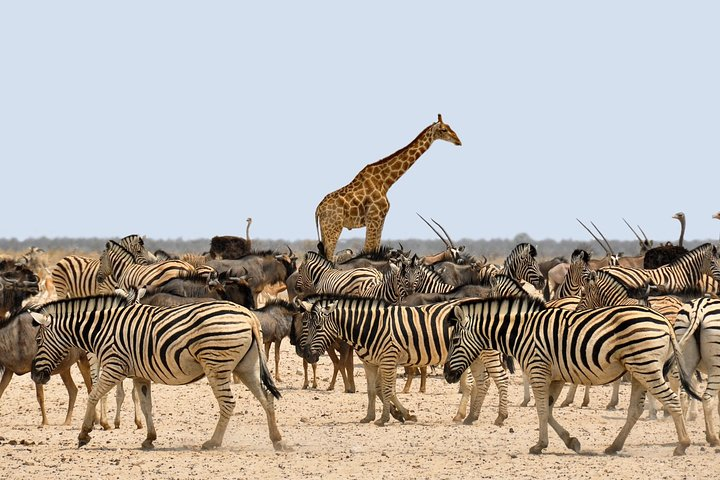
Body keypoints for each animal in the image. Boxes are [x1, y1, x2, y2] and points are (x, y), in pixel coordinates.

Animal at [28, 290, 286, 452]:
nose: (34, 376)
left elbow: (92, 396)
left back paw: (213, 442)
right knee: (267, 398)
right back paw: (277, 441)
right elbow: (146, 405)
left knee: (229, 403)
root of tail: (250, 315)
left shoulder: (113, 366)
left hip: (217, 365)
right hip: (247, 366)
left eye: (38, 340)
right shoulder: (140, 375)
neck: (103, 328)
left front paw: (84, 434)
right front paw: (149, 439)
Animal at [296, 296, 510, 428]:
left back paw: (498, 417)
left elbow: (387, 390)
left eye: (318, 327)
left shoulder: (388, 359)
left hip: (486, 353)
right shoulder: (370, 363)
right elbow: (374, 390)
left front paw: (385, 418)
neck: (367, 327)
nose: (307, 355)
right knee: (483, 382)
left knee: (499, 379)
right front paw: (372, 416)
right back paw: (470, 416)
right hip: (474, 355)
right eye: (306, 324)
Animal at [314, 114, 462, 260]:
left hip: (325, 230)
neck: (385, 182)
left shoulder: (381, 219)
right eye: (444, 130)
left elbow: (375, 247)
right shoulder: (374, 218)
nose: (458, 141)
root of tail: (318, 210)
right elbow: (368, 249)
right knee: (329, 257)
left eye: (450, 127)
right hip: (333, 228)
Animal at [442, 294, 700, 456]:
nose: (446, 375)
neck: (522, 332)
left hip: (646, 366)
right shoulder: (554, 376)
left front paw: (540, 445)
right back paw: (614, 446)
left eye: (454, 340)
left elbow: (541, 410)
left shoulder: (538, 369)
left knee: (672, 400)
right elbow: (548, 410)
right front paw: (571, 441)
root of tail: (665, 321)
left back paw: (683, 445)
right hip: (638, 370)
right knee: (635, 410)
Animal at [676, 296, 720, 446]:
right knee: (707, 398)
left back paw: (683, 440)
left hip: (686, 360)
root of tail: (698, 308)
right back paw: (713, 439)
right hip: (716, 365)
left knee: (683, 396)